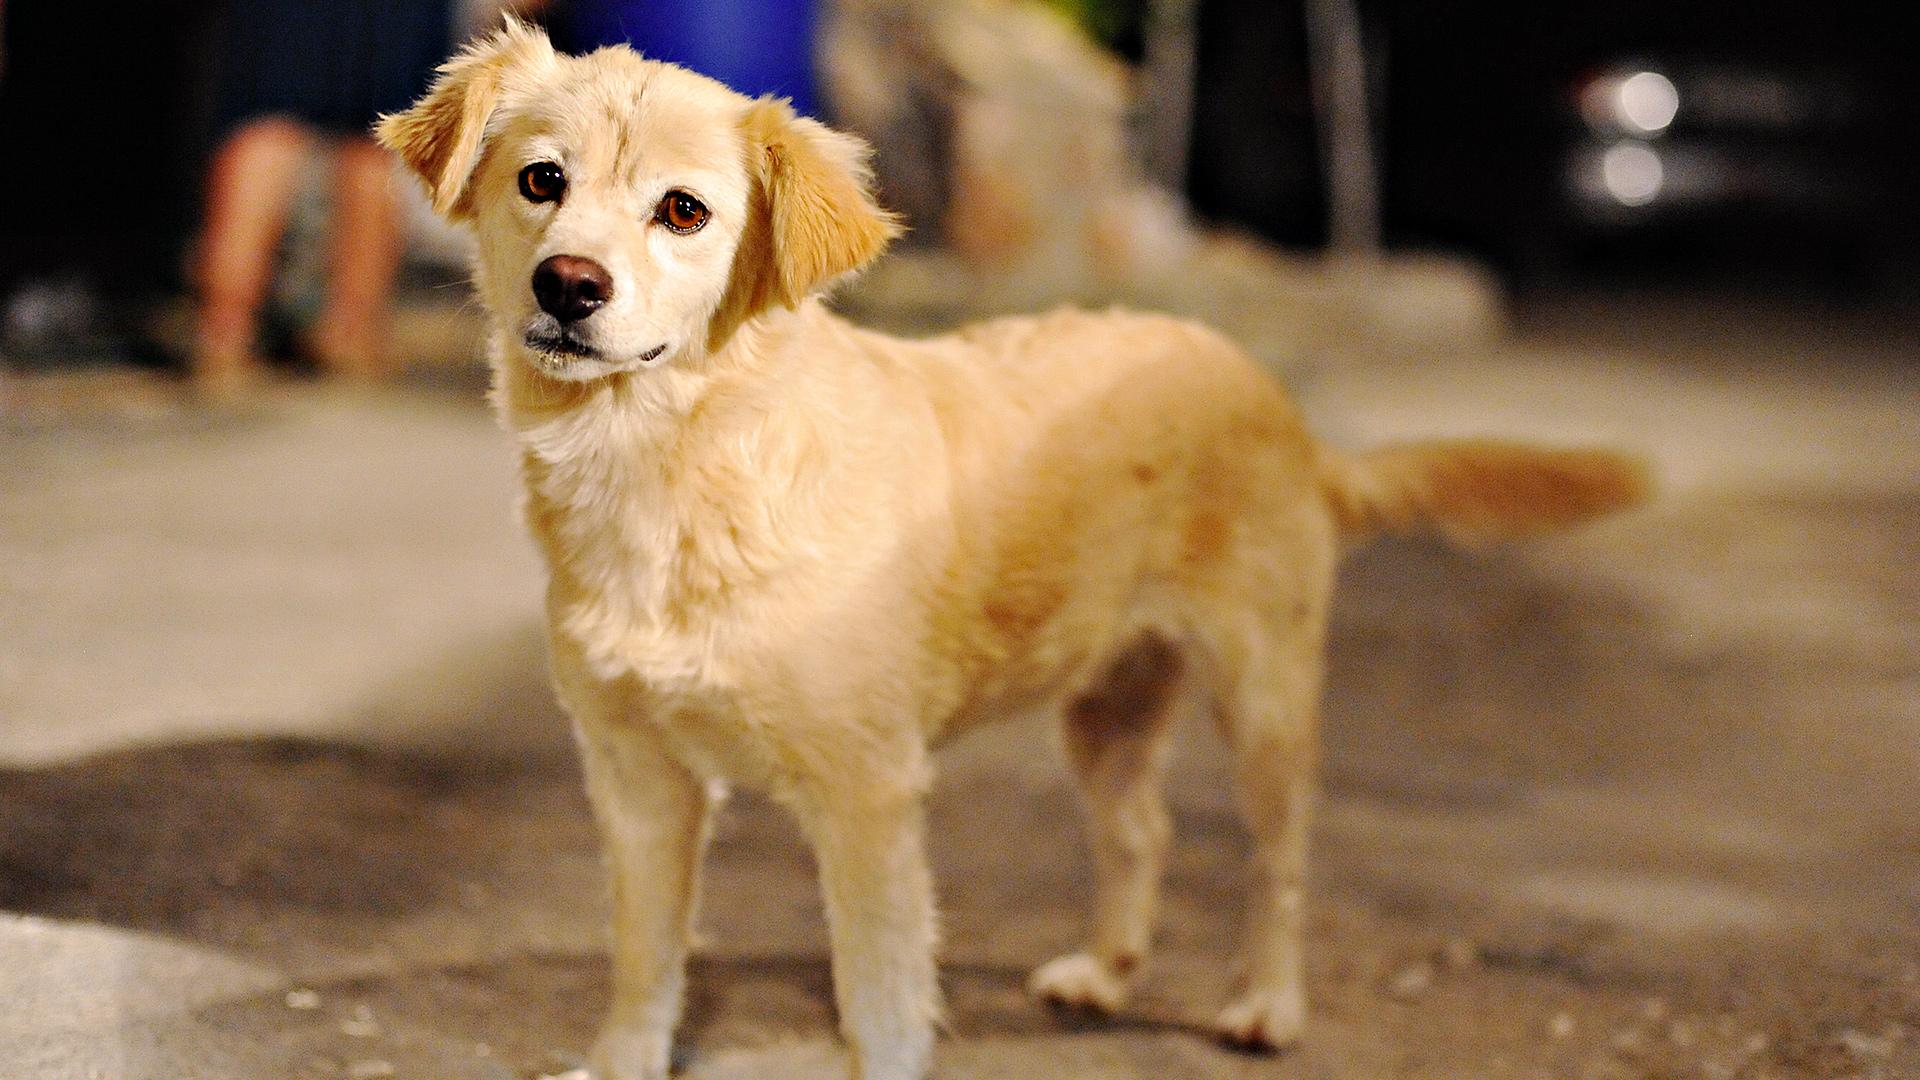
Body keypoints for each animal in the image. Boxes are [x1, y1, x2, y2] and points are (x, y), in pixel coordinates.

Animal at [378, 23, 1651, 1076]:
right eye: (542, 181)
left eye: (684, 212)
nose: (568, 287)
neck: (675, 464)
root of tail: (1274, 400)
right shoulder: (637, 777)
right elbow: (645, 964)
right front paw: (623, 1057)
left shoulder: (868, 794)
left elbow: (880, 999)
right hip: (1105, 700)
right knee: (1141, 830)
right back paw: (1108, 972)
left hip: (1265, 697)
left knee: (1278, 859)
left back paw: (1267, 1006)